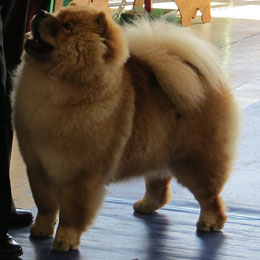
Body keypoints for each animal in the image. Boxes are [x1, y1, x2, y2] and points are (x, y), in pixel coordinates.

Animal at [11, 3, 240, 252]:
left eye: (67, 27)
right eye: (57, 15)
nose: (41, 13)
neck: (53, 87)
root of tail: (197, 72)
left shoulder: (81, 176)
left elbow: (72, 212)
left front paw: (65, 240)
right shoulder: (37, 167)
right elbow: (45, 205)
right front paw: (40, 230)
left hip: (195, 161)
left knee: (210, 196)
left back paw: (210, 222)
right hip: (157, 150)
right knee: (159, 184)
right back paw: (146, 205)